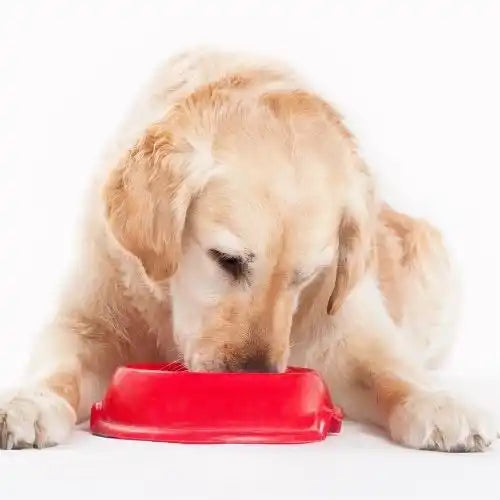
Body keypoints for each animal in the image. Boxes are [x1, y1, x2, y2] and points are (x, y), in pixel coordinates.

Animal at [0, 49, 496, 450]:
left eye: (307, 276)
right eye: (227, 260)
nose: (254, 378)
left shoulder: (346, 331)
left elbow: (391, 371)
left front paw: (440, 404)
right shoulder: (89, 321)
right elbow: (58, 367)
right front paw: (29, 403)